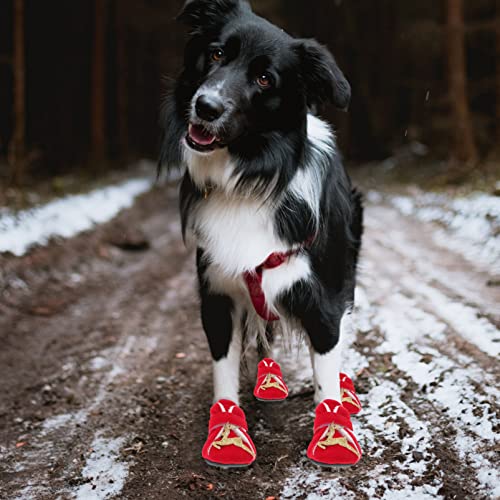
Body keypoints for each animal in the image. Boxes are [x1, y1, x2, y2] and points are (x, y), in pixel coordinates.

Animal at [160, 0, 364, 468]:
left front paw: (334, 431)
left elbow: (326, 369)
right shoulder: (217, 290)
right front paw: (229, 431)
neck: (249, 178)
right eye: (216, 53)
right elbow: (224, 369)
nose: (206, 106)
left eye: (265, 79)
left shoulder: (322, 296)